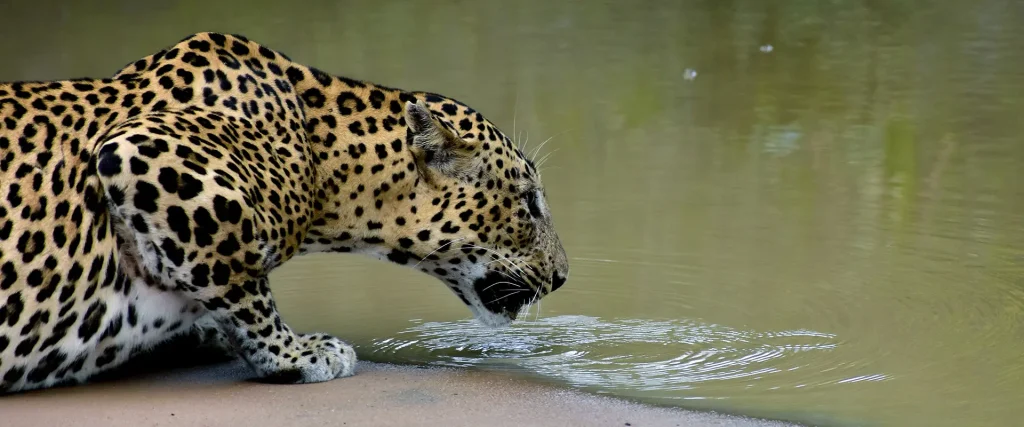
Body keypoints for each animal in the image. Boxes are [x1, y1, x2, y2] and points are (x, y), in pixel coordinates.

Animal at [0, 32, 568, 393]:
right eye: (529, 202)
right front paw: (296, 353)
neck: (325, 164)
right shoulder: (145, 153)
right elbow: (238, 277)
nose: (563, 276)